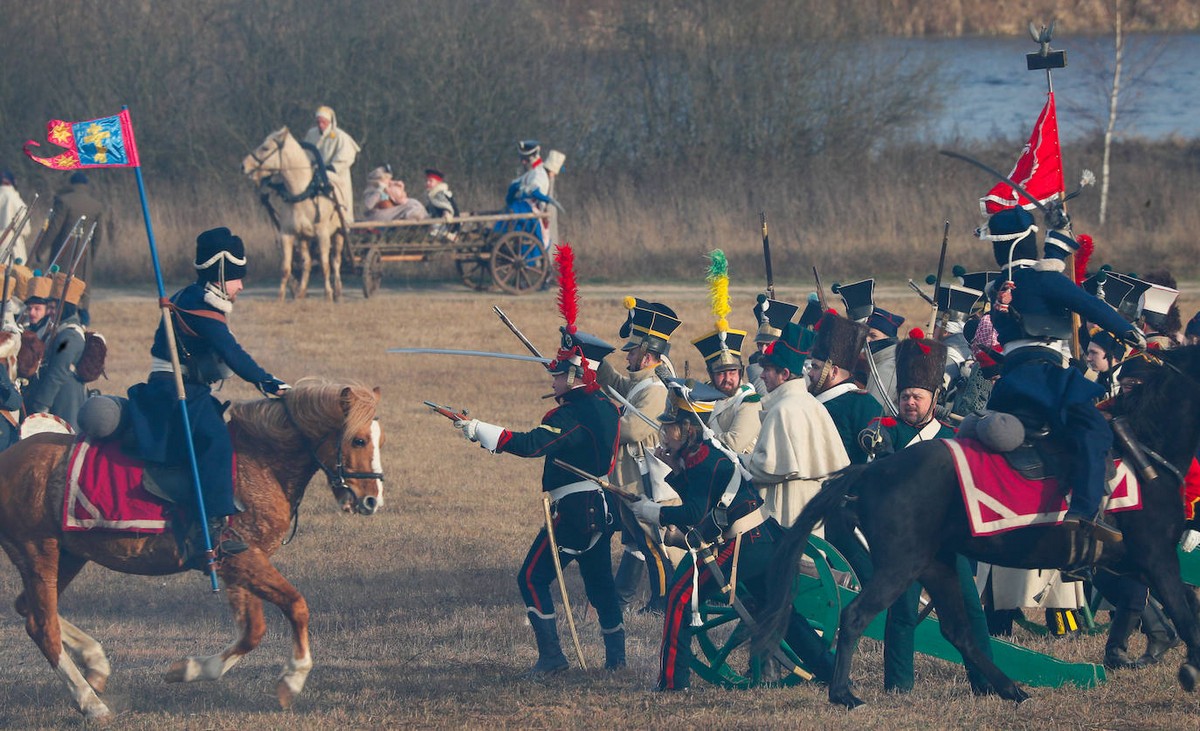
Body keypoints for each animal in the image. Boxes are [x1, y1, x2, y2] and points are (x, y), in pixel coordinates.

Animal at [0, 379, 386, 720]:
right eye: (358, 440)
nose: (372, 500)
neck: (259, 464)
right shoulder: (242, 560)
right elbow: (296, 606)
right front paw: (293, 679)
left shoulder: (240, 564)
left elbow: (252, 631)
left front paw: (188, 670)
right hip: (39, 551)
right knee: (42, 626)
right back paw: (90, 704)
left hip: (68, 555)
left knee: (30, 610)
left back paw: (95, 663)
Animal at [238, 128, 343, 302]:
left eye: (265, 148)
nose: (243, 165)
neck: (301, 194)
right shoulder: (287, 234)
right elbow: (286, 268)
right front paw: (281, 298)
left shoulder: (322, 235)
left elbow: (325, 265)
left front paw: (328, 294)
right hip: (303, 238)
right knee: (307, 263)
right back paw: (301, 292)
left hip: (339, 234)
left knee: (335, 261)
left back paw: (337, 291)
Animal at [758, 345, 1200, 705]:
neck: (1147, 448)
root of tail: (872, 470)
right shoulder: (1157, 558)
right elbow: (1184, 612)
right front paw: (1190, 668)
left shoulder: (1137, 562)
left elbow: (1179, 604)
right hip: (901, 567)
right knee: (855, 617)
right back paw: (845, 694)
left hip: (935, 565)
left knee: (959, 631)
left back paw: (1009, 688)